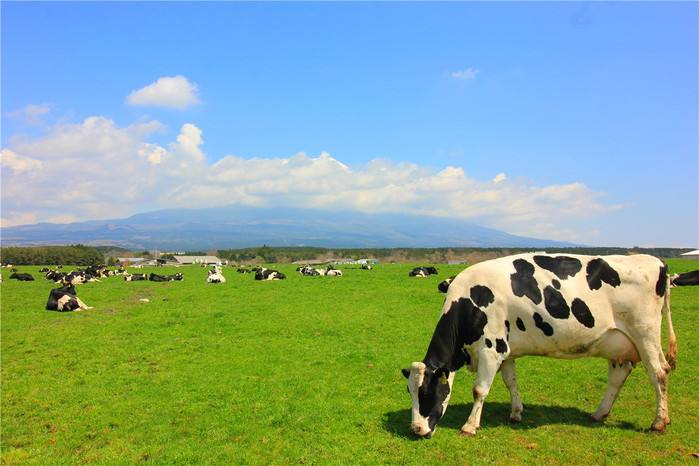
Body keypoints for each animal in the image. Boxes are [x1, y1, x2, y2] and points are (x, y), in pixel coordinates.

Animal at [402, 253, 696, 438]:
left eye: (426, 392)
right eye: (410, 392)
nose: (416, 430)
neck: (467, 303)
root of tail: (656, 261)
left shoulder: (490, 348)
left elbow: (479, 390)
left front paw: (470, 426)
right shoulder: (505, 349)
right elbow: (511, 382)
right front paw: (516, 412)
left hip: (645, 333)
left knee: (659, 372)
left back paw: (659, 422)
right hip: (617, 342)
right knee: (619, 375)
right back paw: (599, 413)